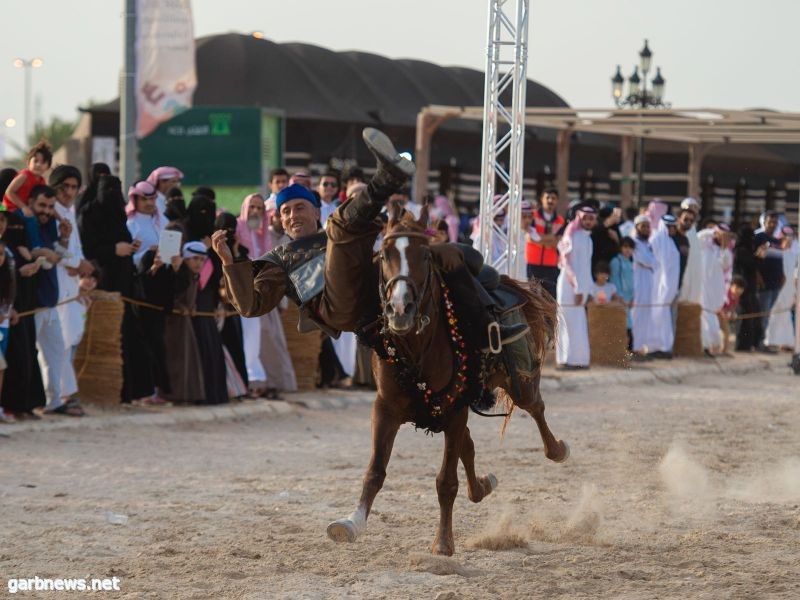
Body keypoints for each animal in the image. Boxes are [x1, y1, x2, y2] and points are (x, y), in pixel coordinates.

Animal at [326, 209, 568, 556]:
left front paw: (443, 542)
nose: (400, 309)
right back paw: (482, 485)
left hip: (519, 380)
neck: (419, 347)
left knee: (535, 407)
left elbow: (446, 481)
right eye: (383, 254)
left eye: (425, 256)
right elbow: (375, 471)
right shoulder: (385, 408)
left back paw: (557, 449)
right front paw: (350, 523)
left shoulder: (455, 410)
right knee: (470, 445)